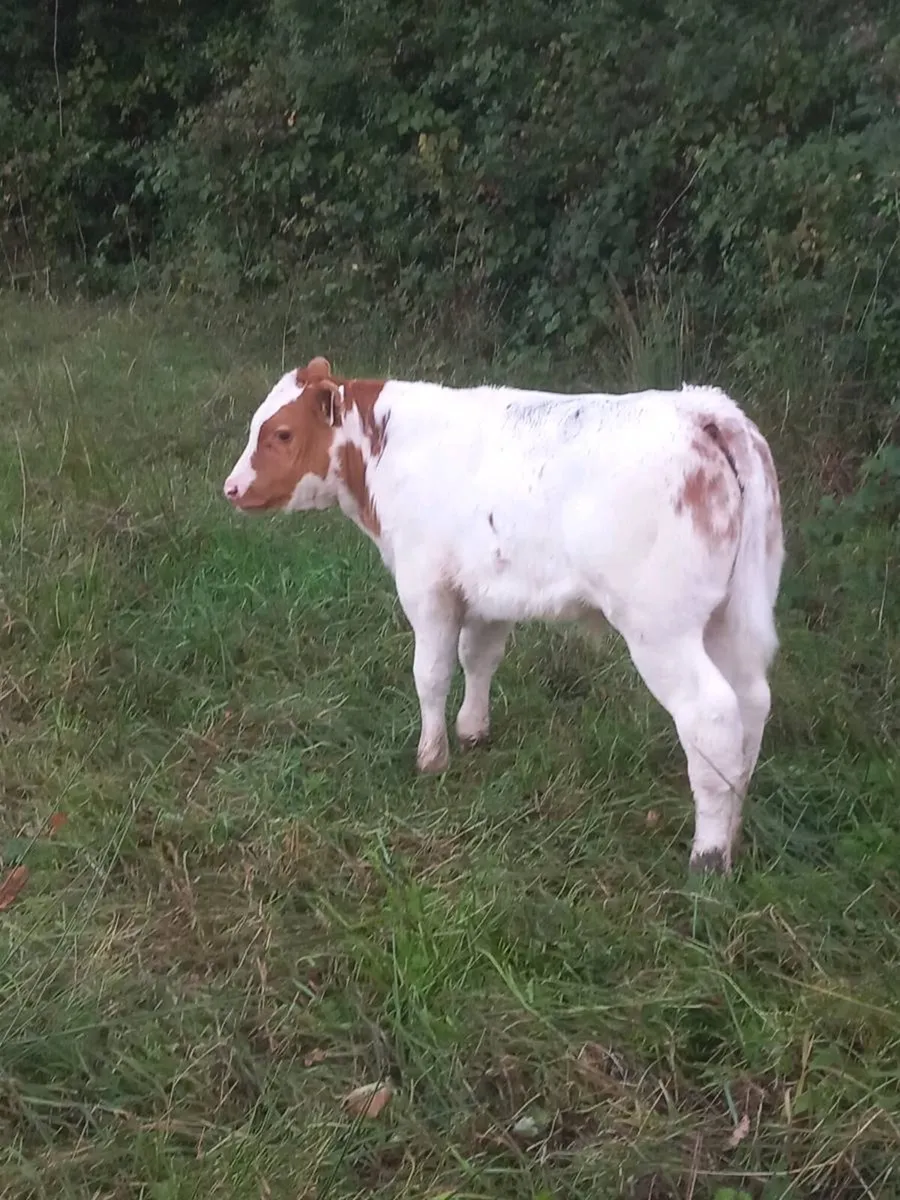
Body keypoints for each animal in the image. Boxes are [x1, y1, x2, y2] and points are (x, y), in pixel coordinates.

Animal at [224, 355, 784, 874]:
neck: (391, 451)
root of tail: (703, 410)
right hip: (732, 615)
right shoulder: (489, 591)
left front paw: (431, 757)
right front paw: (473, 731)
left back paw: (707, 857)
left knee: (712, 713)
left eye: (281, 433)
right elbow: (479, 658)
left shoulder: (425, 584)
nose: (231, 488)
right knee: (752, 701)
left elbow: (431, 673)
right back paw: (733, 829)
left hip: (661, 627)